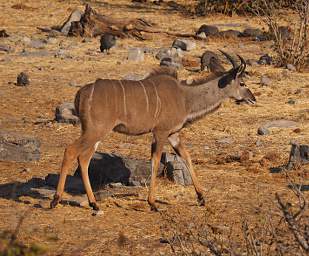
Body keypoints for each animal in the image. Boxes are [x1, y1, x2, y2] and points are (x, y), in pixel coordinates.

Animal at [50, 50, 255, 212]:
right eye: (243, 83)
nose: (253, 98)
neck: (185, 97)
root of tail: (81, 93)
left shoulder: (173, 135)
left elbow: (187, 157)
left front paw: (201, 197)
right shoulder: (161, 132)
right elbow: (155, 161)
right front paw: (153, 203)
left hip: (94, 133)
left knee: (84, 159)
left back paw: (94, 203)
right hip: (96, 130)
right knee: (71, 151)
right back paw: (55, 200)